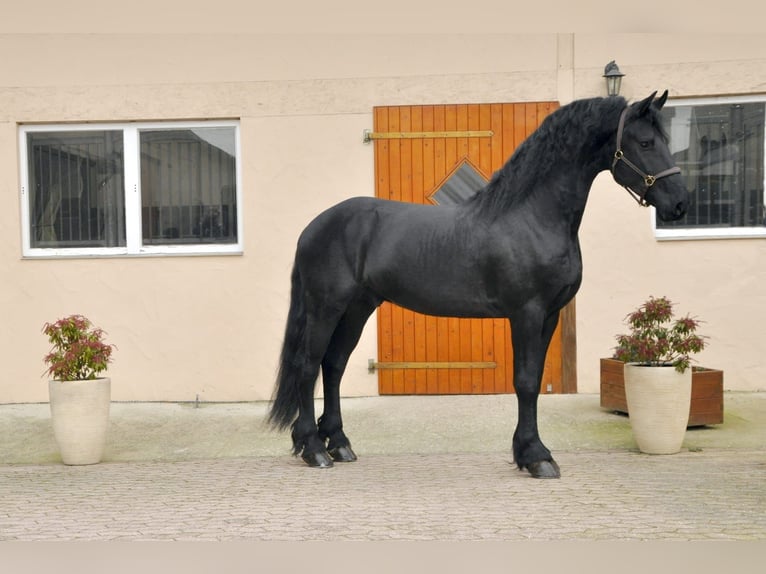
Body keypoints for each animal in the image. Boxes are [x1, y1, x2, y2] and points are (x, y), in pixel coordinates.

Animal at [268, 91, 687, 479]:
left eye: (665, 139)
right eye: (645, 143)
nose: (680, 205)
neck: (532, 215)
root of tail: (313, 227)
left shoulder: (550, 315)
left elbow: (534, 379)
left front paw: (526, 452)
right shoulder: (526, 313)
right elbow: (525, 382)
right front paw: (536, 457)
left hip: (358, 308)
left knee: (334, 365)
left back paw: (338, 443)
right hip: (326, 306)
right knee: (308, 365)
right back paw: (313, 449)